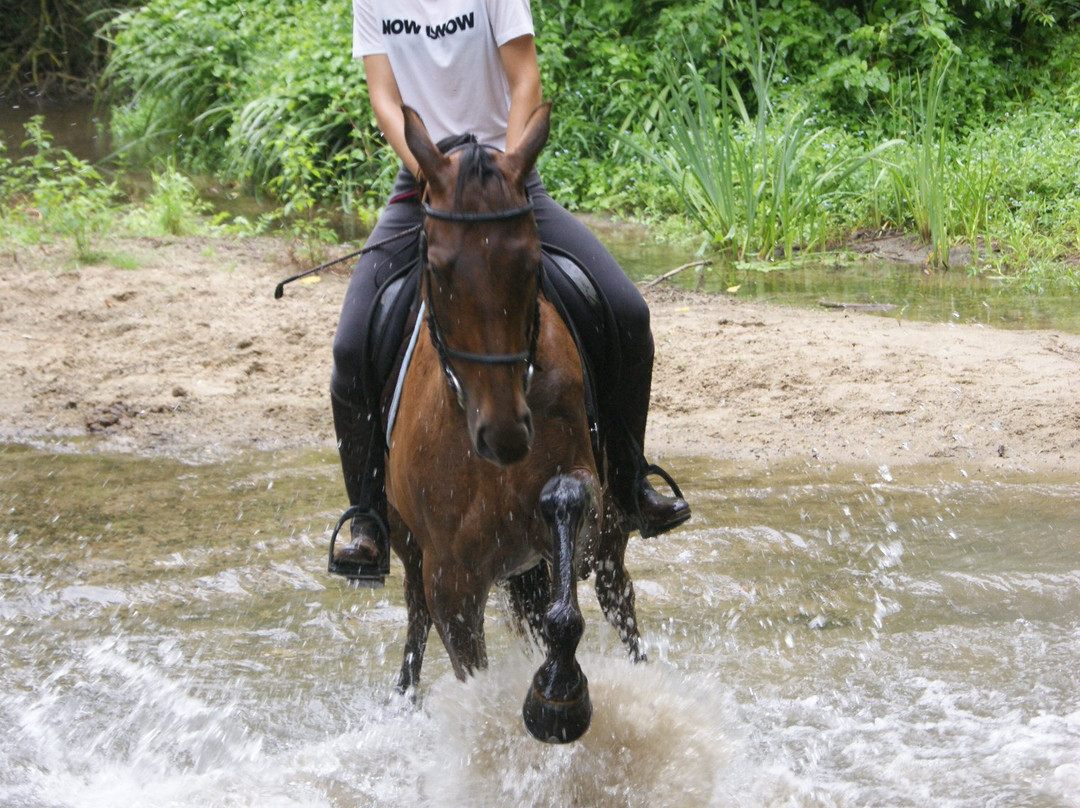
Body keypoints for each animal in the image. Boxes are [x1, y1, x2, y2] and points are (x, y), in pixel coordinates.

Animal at [384, 105, 643, 743]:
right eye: (437, 266)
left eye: (529, 262)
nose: (503, 433)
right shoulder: (451, 584)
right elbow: (471, 675)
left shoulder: (580, 498)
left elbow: (566, 506)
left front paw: (559, 695)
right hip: (407, 549)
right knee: (414, 620)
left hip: (611, 535)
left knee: (617, 596)